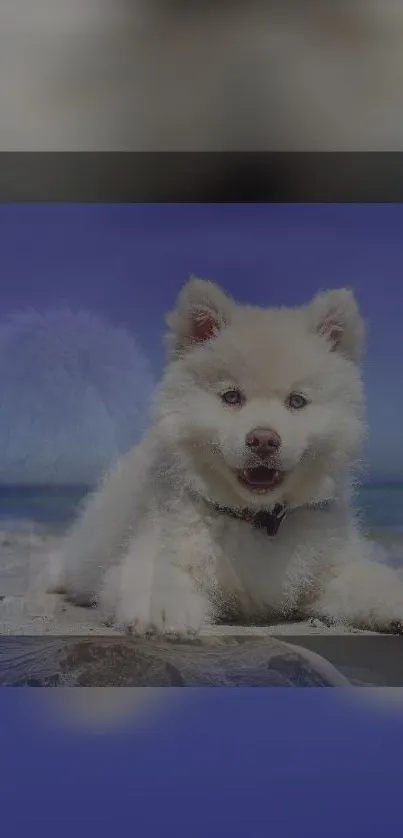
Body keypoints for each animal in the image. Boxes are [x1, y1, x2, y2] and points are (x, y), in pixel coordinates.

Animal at [48, 280, 403, 636]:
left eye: (297, 401)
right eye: (231, 397)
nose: (263, 440)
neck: (259, 520)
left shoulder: (331, 569)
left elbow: (366, 579)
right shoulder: (154, 548)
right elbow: (157, 574)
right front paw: (162, 609)